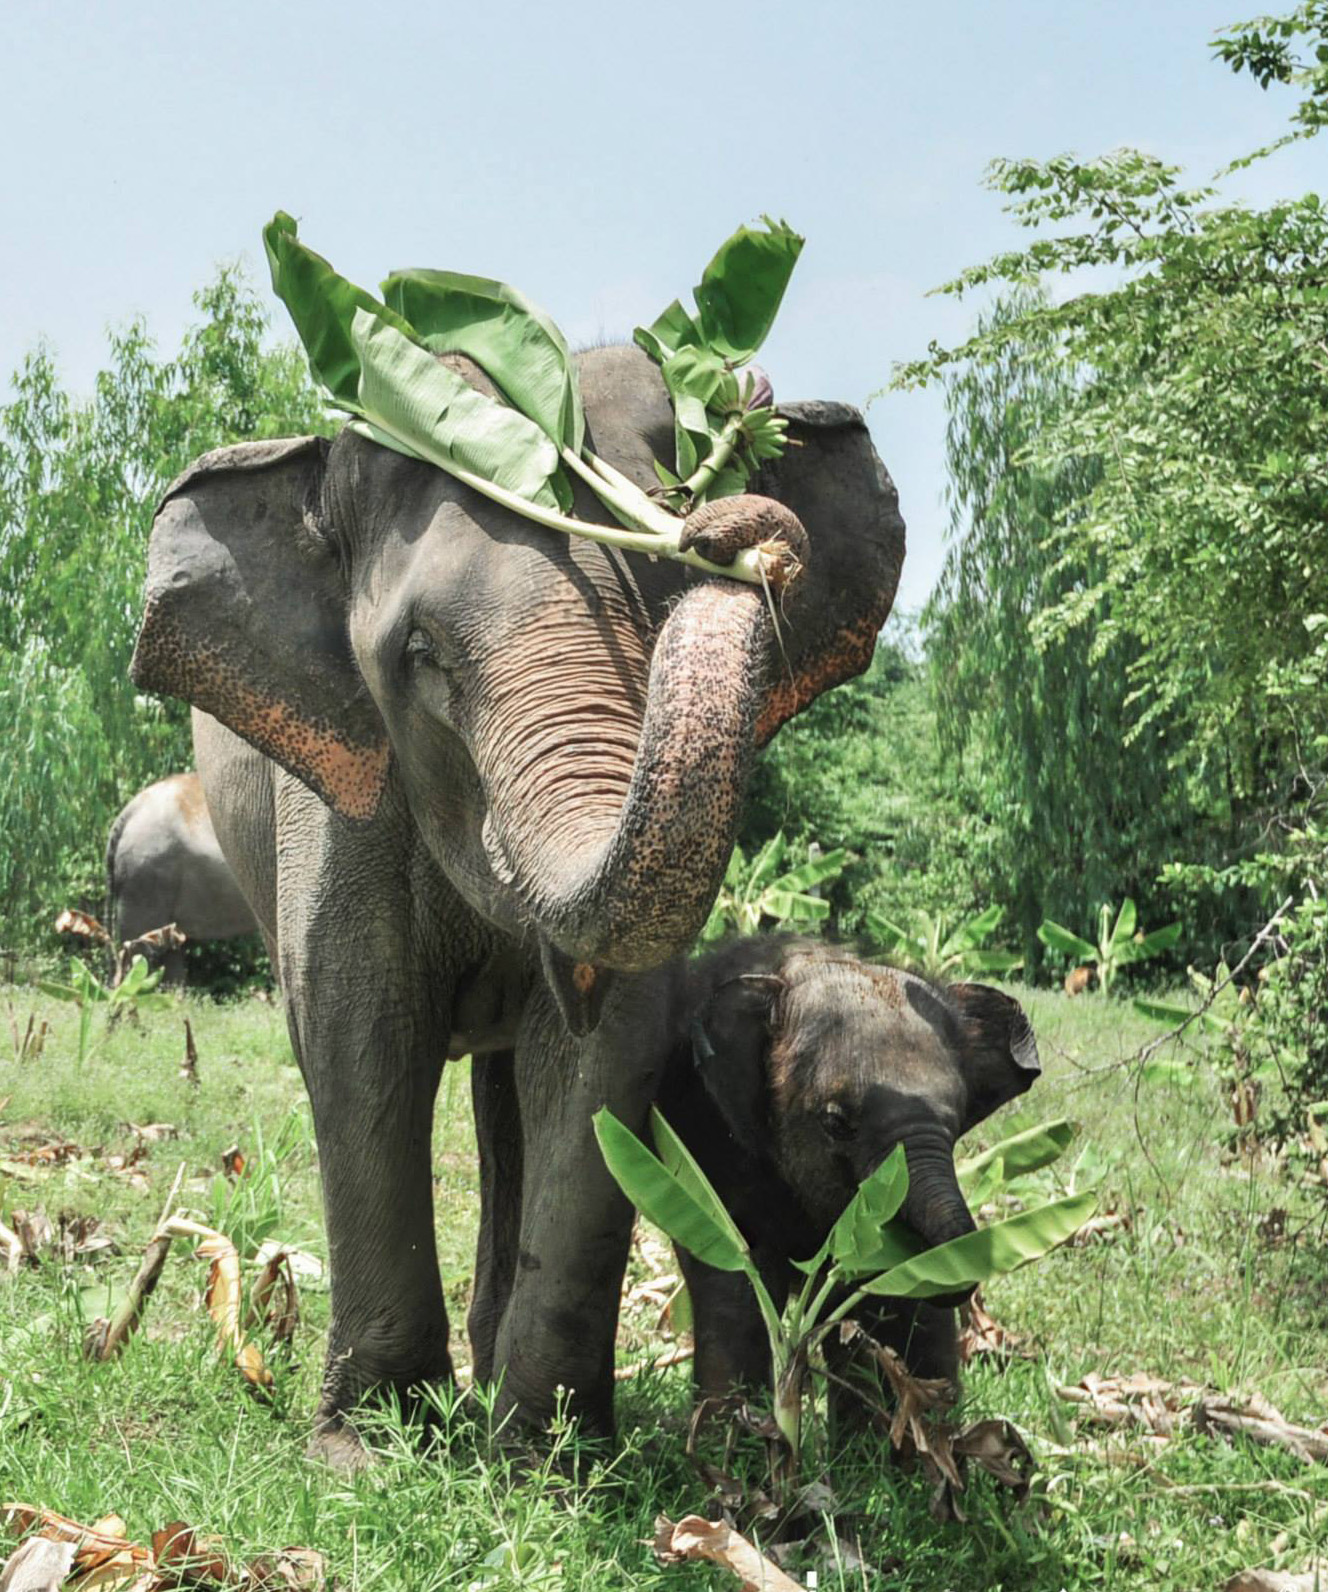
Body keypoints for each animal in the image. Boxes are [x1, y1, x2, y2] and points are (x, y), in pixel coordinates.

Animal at [128, 342, 904, 1458]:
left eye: (669, 601)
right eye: (420, 655)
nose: (729, 527)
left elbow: (601, 1053)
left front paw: (550, 1457)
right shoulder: (337, 787)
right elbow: (361, 1035)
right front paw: (370, 1447)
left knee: (504, 1099)